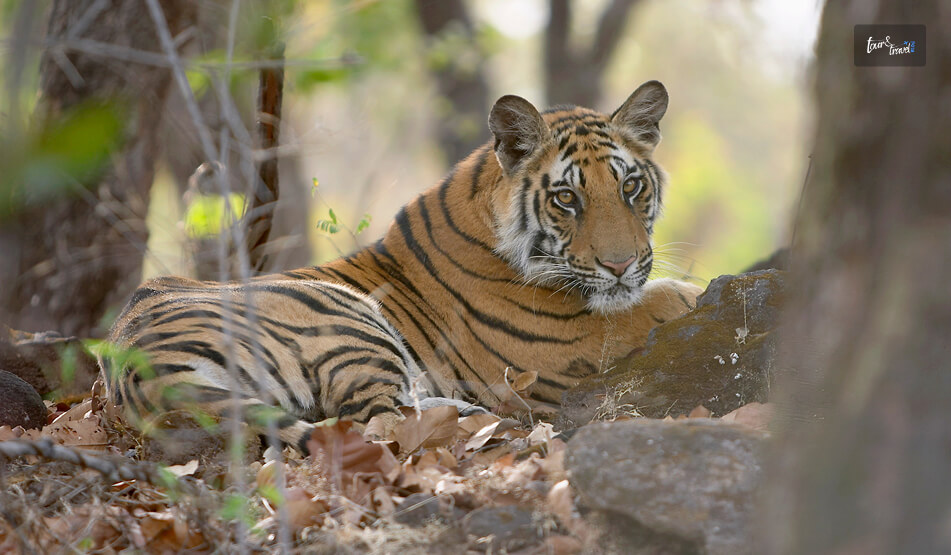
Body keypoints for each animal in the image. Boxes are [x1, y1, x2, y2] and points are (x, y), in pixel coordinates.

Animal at [101, 80, 703, 453]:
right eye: (566, 199)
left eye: (630, 186)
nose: (621, 265)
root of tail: (134, 363)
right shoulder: (568, 341)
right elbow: (667, 298)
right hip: (350, 321)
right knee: (378, 418)